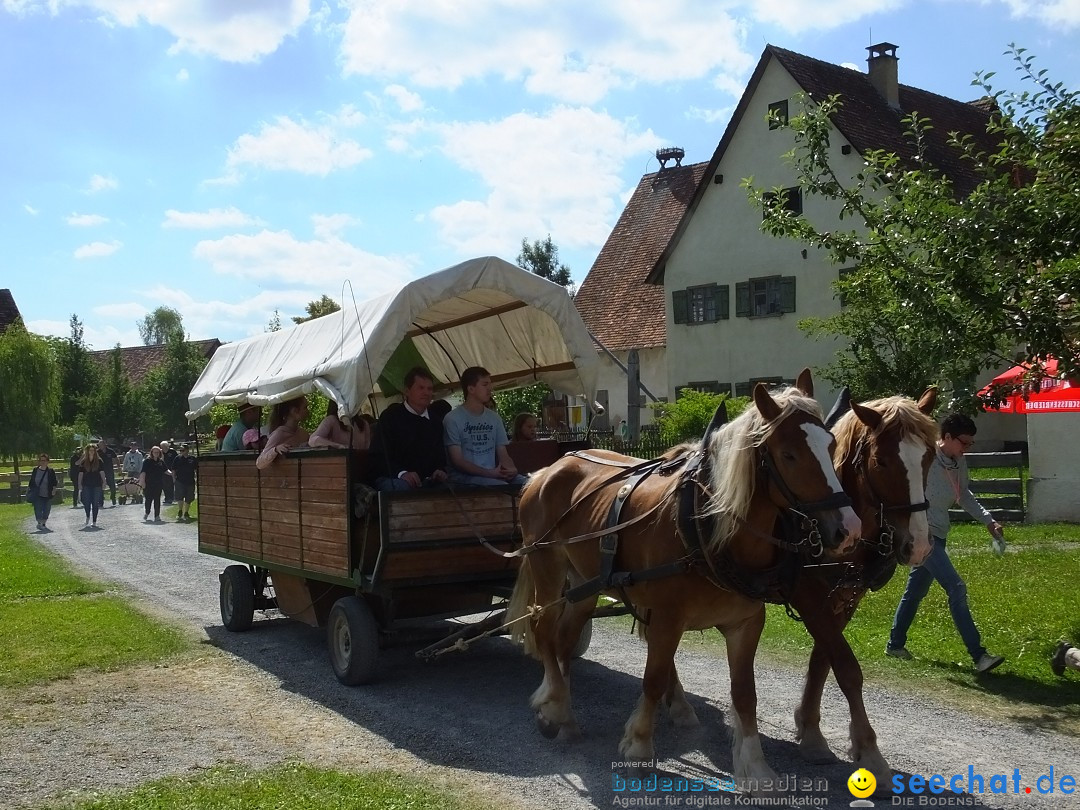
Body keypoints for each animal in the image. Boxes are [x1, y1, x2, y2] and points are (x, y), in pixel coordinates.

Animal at [786, 390, 946, 794]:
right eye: (882, 461)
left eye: (928, 457)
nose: (919, 546)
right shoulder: (808, 596)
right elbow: (847, 668)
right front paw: (871, 752)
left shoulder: (845, 599)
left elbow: (822, 662)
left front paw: (811, 731)